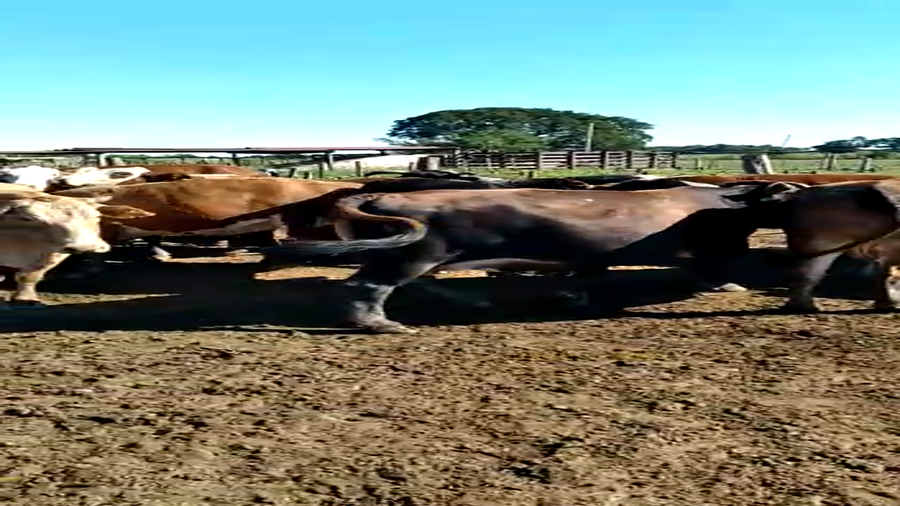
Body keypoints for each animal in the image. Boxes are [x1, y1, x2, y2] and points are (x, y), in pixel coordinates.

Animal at [0, 183, 153, 308]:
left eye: (97, 217)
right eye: (28, 218)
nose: (87, 247)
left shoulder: (55, 252)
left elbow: (30, 275)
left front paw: (24, 299)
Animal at [265, 182, 795, 333]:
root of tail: (379, 195)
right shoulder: (713, 249)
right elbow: (714, 268)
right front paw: (726, 286)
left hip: (419, 254)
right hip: (416, 252)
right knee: (369, 286)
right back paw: (382, 326)